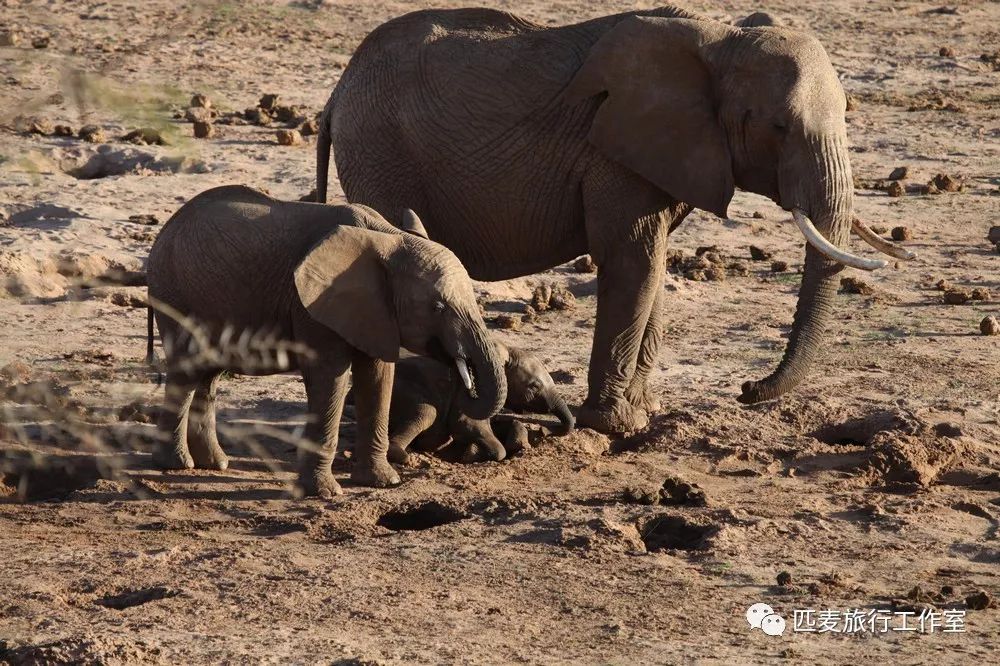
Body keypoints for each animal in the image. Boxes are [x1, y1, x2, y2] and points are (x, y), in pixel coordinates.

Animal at [146, 184, 508, 496]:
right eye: (437, 308)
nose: (466, 380)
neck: (388, 236)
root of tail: (165, 231)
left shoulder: (375, 312)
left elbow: (378, 376)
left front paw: (383, 482)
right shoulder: (311, 304)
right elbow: (329, 375)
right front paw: (325, 494)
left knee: (208, 376)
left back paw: (216, 464)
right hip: (175, 293)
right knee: (187, 372)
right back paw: (177, 465)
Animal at [320, 5, 916, 434]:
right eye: (777, 127)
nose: (747, 389)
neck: (722, 37)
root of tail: (337, 91)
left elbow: (652, 265)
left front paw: (642, 414)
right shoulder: (614, 151)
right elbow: (632, 262)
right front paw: (613, 425)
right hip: (379, 151)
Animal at [384, 340, 576, 464]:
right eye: (534, 386)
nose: (544, 431)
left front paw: (519, 443)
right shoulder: (467, 392)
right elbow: (473, 429)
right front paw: (469, 454)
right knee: (427, 412)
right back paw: (402, 456)